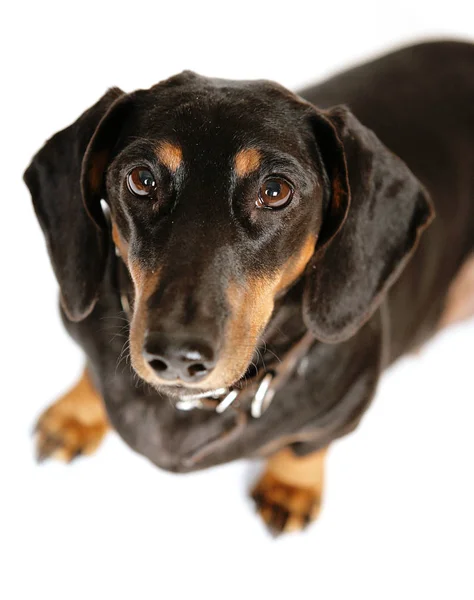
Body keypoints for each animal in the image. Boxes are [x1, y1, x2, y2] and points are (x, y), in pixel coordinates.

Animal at [24, 39, 474, 532]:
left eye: (275, 191)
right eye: (141, 179)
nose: (177, 357)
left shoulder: (345, 407)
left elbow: (308, 445)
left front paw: (291, 485)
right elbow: (91, 372)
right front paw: (76, 413)